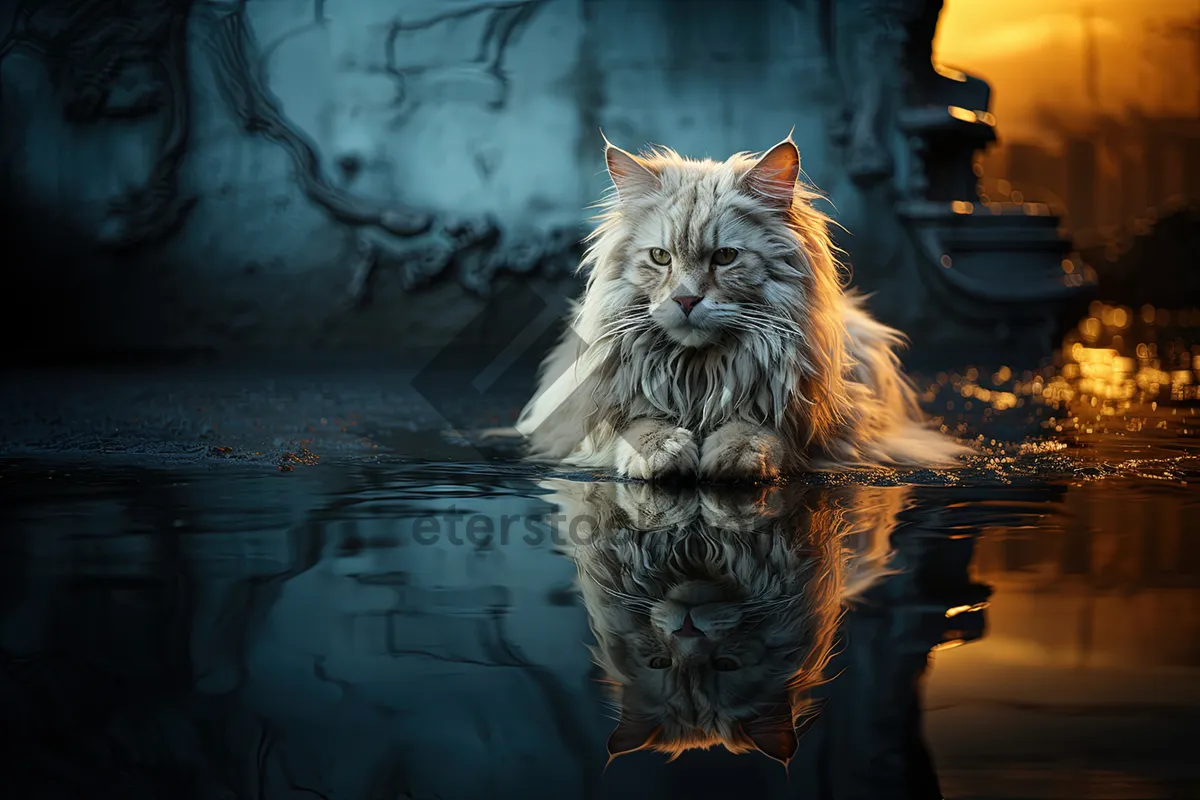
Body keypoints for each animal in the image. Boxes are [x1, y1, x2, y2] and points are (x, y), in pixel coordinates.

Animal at [511, 134, 969, 479]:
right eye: (660, 258)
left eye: (725, 257)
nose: (685, 299)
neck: (699, 374)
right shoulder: (594, 417)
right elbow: (640, 426)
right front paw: (666, 451)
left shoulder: (814, 425)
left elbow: (759, 430)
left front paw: (735, 454)